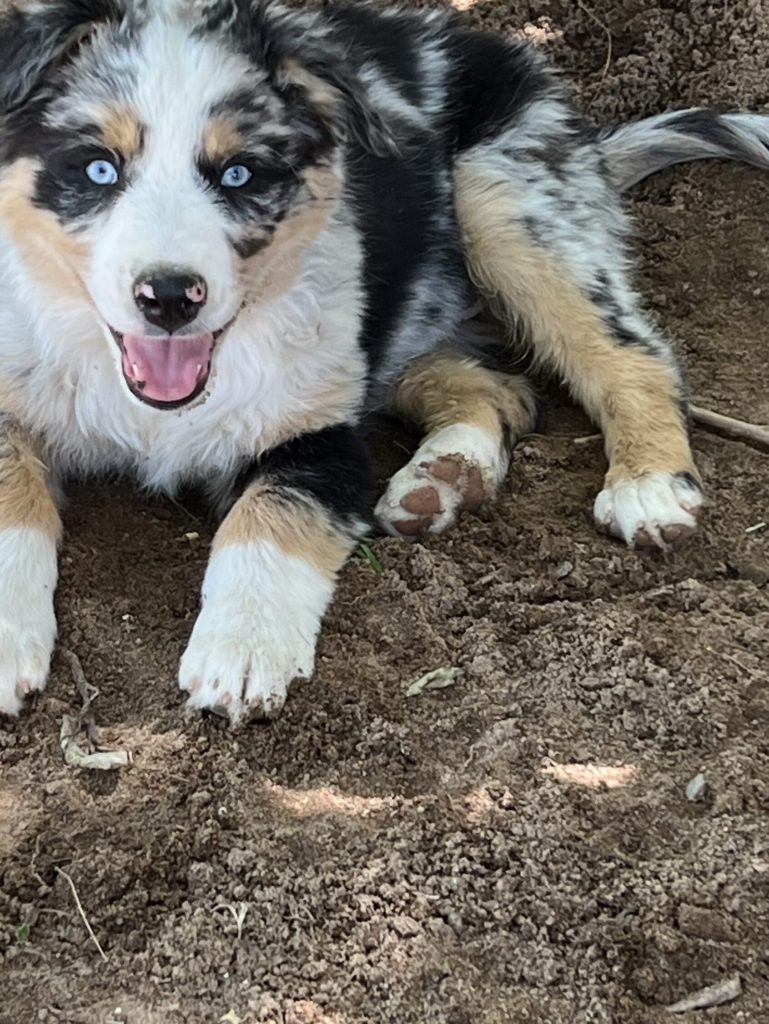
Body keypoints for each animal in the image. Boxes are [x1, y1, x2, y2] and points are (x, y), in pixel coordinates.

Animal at [1, 0, 769, 724]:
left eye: (240, 174)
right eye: (99, 169)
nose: (168, 298)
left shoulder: (320, 433)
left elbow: (268, 517)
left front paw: (242, 652)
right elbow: (14, 495)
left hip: (507, 198)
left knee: (633, 355)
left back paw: (648, 486)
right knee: (503, 389)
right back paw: (445, 476)